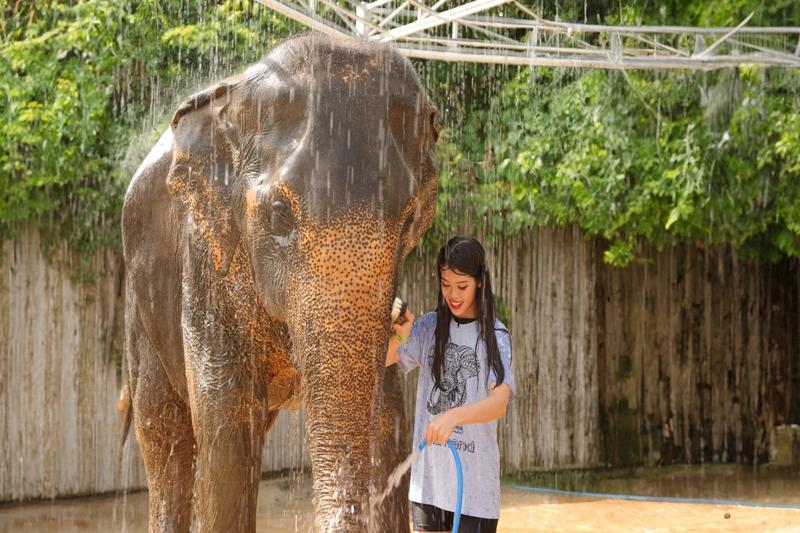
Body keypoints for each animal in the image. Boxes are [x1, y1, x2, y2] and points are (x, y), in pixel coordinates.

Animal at [121, 33, 438, 532]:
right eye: (278, 214)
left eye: (408, 221)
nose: (403, 313)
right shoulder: (206, 258)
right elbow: (227, 433)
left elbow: (388, 420)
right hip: (139, 304)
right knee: (165, 436)